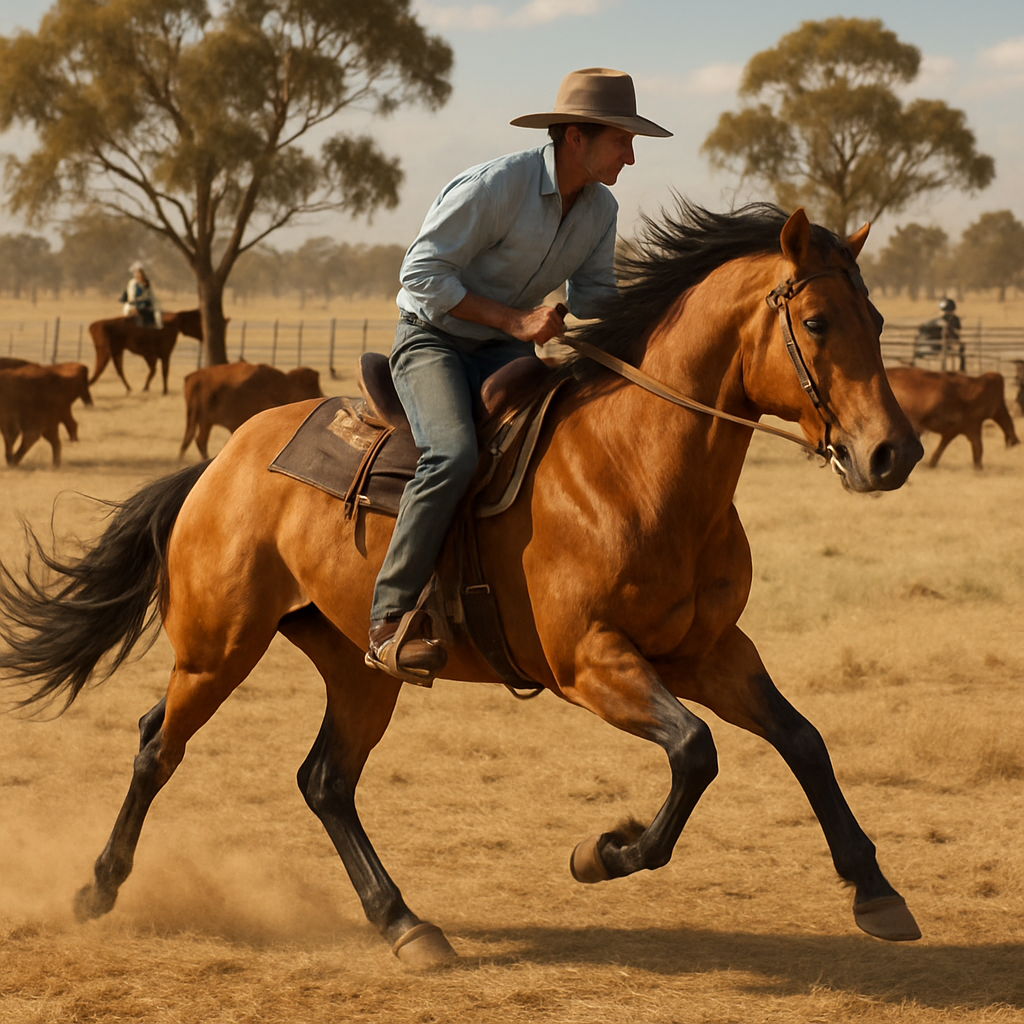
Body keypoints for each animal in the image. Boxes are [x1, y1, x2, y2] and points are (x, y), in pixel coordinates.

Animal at [0, 205, 924, 970]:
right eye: (816, 321)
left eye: (879, 320)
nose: (894, 452)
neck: (636, 464)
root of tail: (223, 462)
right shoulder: (593, 664)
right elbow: (696, 751)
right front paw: (605, 852)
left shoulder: (708, 652)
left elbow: (802, 739)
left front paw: (877, 893)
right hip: (217, 648)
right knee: (159, 745)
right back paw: (97, 887)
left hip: (358, 666)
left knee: (324, 781)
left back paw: (405, 924)